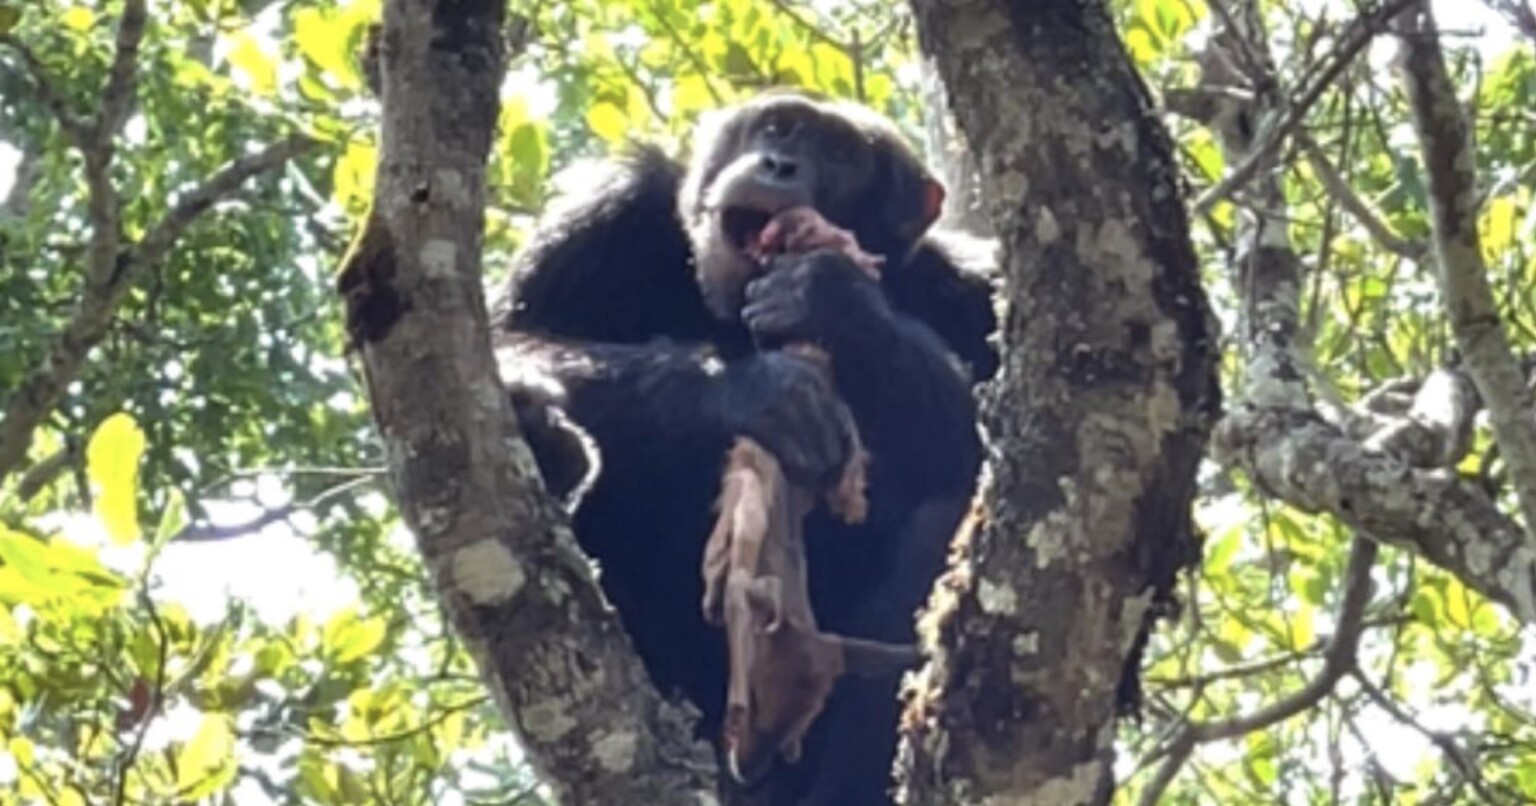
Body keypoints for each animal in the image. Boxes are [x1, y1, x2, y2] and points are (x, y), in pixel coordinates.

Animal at [488, 90, 995, 798]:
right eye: (779, 126)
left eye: (838, 154)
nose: (780, 163)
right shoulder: (603, 212)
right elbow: (509, 336)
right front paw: (756, 391)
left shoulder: (974, 285)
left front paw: (835, 299)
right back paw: (549, 445)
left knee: (945, 515)